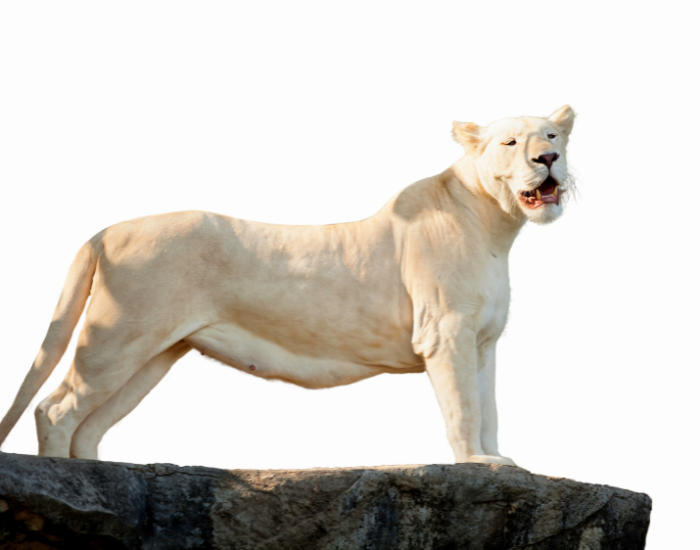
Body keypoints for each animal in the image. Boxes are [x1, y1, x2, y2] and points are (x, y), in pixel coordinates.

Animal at [0, 106, 575, 465]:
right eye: (510, 142)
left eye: (552, 136)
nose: (547, 160)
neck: (497, 228)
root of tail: (106, 230)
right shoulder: (445, 333)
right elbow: (464, 407)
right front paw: (474, 464)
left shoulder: (482, 341)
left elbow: (489, 406)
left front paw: (497, 459)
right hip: (119, 335)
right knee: (56, 409)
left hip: (152, 354)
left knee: (91, 424)